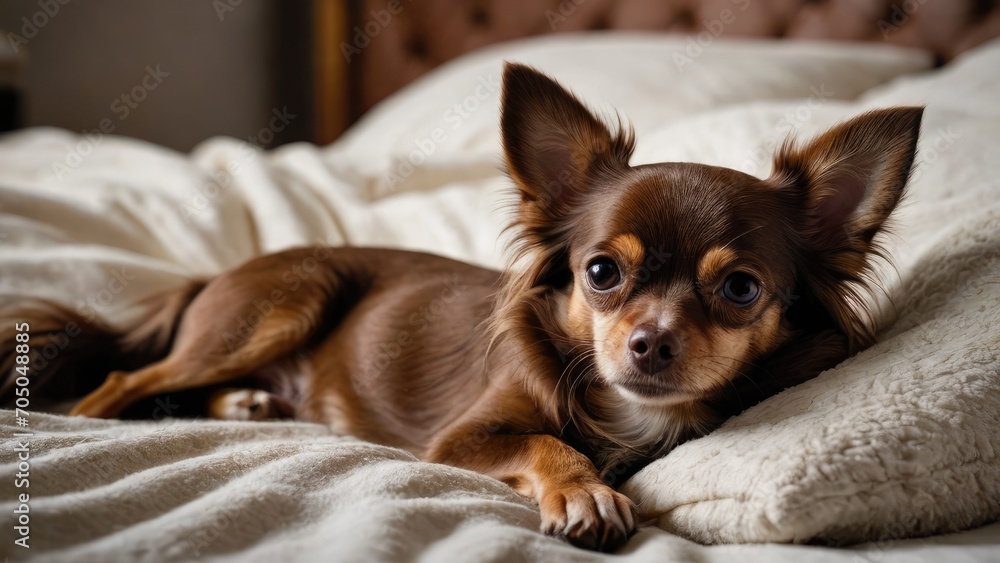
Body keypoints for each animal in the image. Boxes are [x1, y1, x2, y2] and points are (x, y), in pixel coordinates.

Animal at [1, 65, 920, 552]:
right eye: (600, 272)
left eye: (740, 289)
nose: (650, 343)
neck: (628, 413)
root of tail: (212, 273)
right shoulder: (463, 439)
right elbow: (550, 441)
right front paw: (585, 494)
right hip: (284, 300)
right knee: (122, 380)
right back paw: (106, 416)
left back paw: (251, 403)